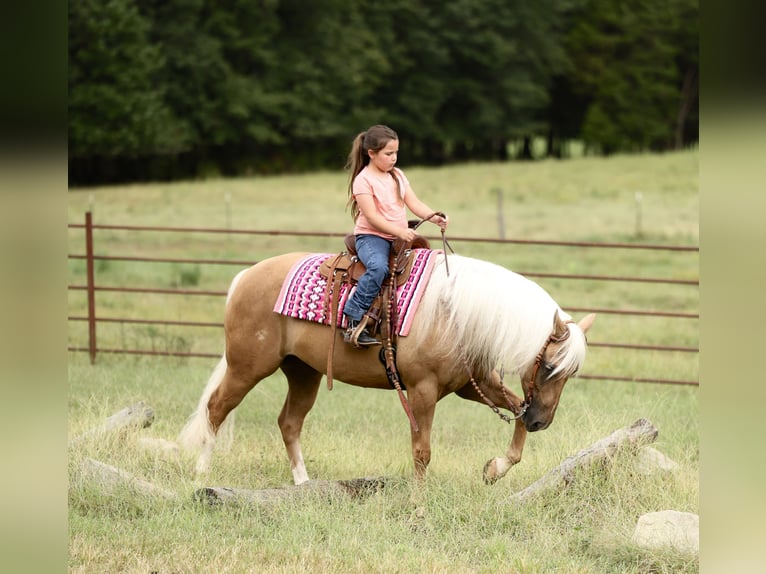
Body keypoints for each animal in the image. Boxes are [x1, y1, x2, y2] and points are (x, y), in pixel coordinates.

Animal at [178, 250, 595, 485]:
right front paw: (418, 506)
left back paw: (302, 482)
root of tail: (244, 277)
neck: (457, 311)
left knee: (289, 422)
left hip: (303, 371)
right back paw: (201, 472)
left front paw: (494, 469)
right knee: (216, 408)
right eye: (549, 367)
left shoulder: (473, 384)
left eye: (570, 373)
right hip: (247, 367)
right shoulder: (423, 390)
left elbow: (516, 418)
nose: (543, 421)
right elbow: (422, 451)